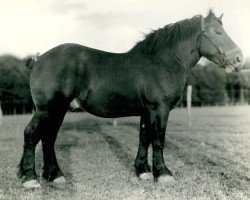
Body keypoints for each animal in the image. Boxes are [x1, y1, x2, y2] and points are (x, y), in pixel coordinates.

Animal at [18, 10, 243, 188]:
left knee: (48, 138)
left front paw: (143, 171)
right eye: (218, 32)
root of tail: (38, 60)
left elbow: (144, 137)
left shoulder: (147, 111)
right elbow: (158, 139)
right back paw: (30, 178)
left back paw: (54, 175)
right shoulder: (159, 109)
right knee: (31, 134)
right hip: (47, 109)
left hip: (58, 110)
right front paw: (163, 174)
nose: (239, 59)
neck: (163, 62)